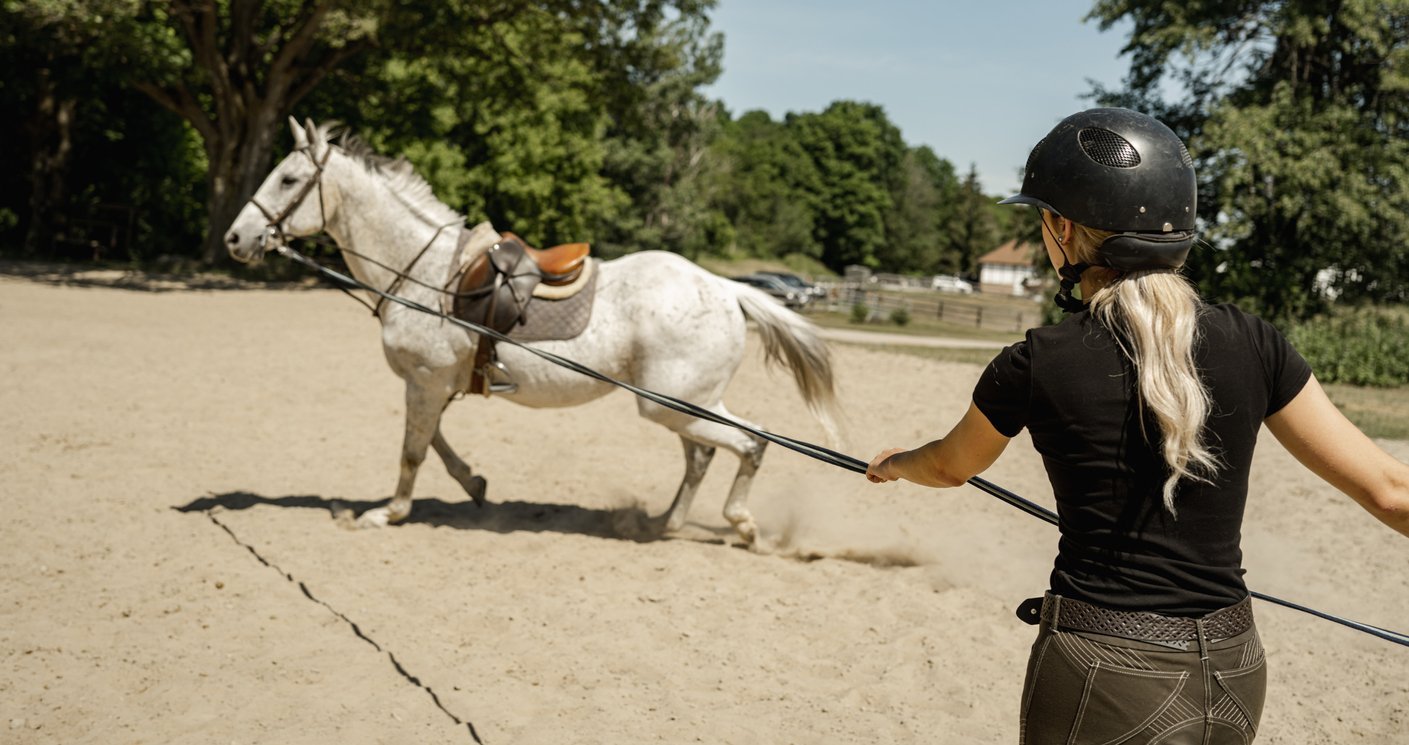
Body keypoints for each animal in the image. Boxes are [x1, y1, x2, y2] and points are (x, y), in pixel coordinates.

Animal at [219, 119, 834, 543]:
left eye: (289, 179)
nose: (235, 239)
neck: (424, 271)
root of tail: (728, 288)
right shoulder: (434, 386)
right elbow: (434, 442)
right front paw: (473, 484)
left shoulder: (424, 382)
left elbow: (413, 451)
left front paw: (387, 513)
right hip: (684, 405)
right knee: (703, 456)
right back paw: (667, 523)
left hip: (673, 404)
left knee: (750, 443)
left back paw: (742, 525)